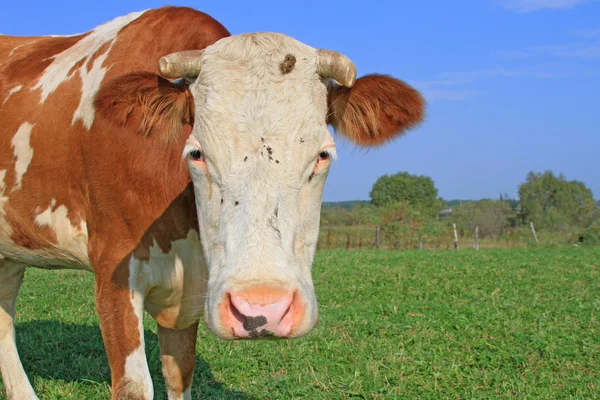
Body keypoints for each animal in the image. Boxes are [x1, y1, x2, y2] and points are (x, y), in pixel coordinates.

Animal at [0, 3, 424, 400]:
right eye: (197, 153)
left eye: (322, 154)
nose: (262, 310)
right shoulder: (114, 273)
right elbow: (135, 385)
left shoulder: (192, 289)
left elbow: (180, 374)